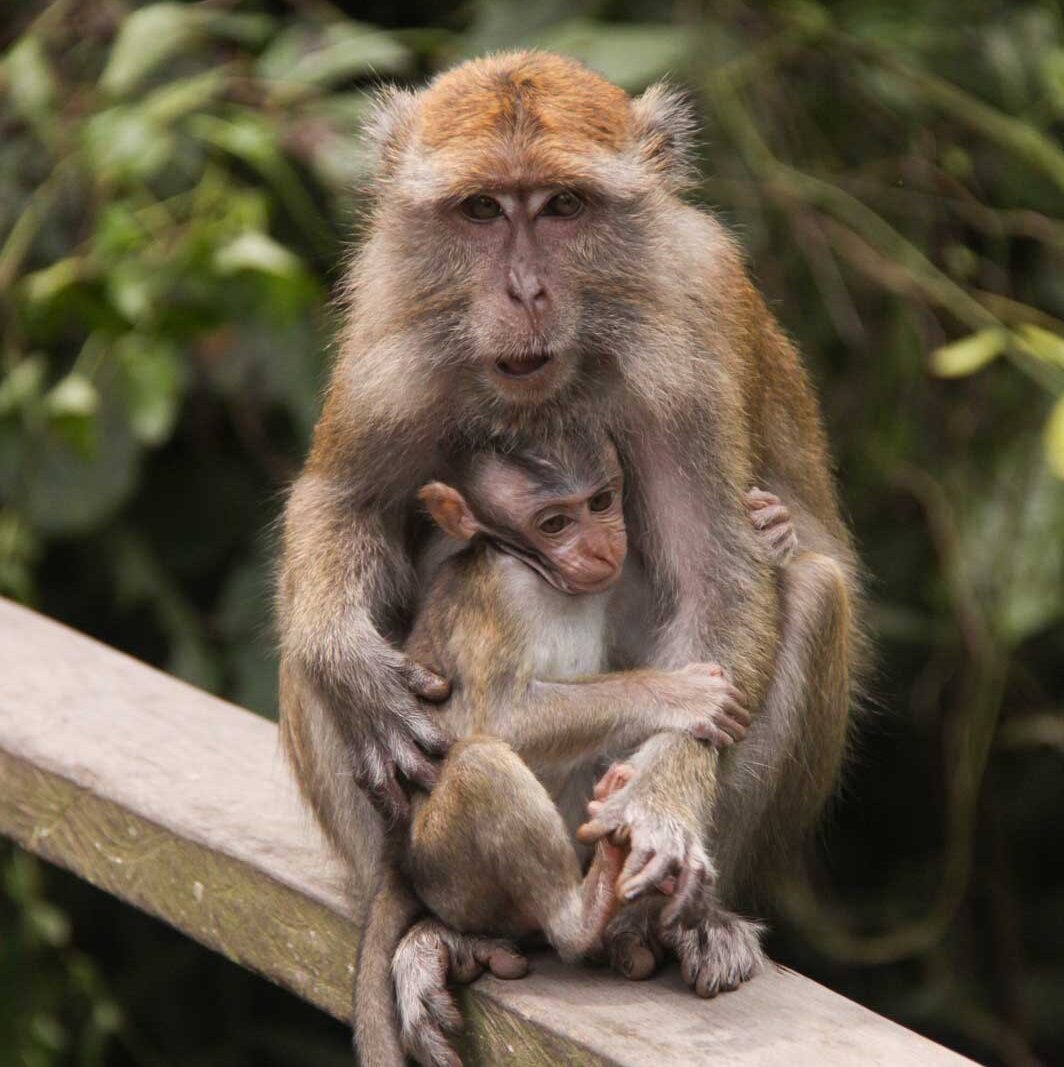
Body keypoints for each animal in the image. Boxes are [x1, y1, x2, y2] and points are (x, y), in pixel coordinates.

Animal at [353, 428, 750, 1067]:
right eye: (554, 524)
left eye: (602, 501)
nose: (602, 546)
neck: (544, 581)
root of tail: (398, 863)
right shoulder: (500, 594)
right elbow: (488, 716)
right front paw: (680, 693)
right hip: (447, 875)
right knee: (480, 764)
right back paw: (581, 917)